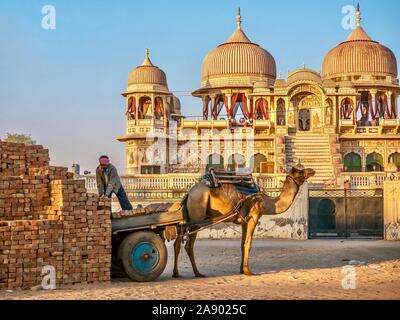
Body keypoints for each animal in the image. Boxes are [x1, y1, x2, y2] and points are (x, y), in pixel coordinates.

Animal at [172, 165, 316, 278]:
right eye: (300, 172)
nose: (312, 170)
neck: (266, 202)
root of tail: (188, 194)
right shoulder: (253, 218)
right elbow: (248, 244)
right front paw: (248, 271)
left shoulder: (243, 221)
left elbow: (242, 244)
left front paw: (241, 269)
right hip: (197, 215)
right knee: (188, 245)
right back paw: (198, 273)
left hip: (187, 217)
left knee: (177, 241)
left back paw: (176, 273)